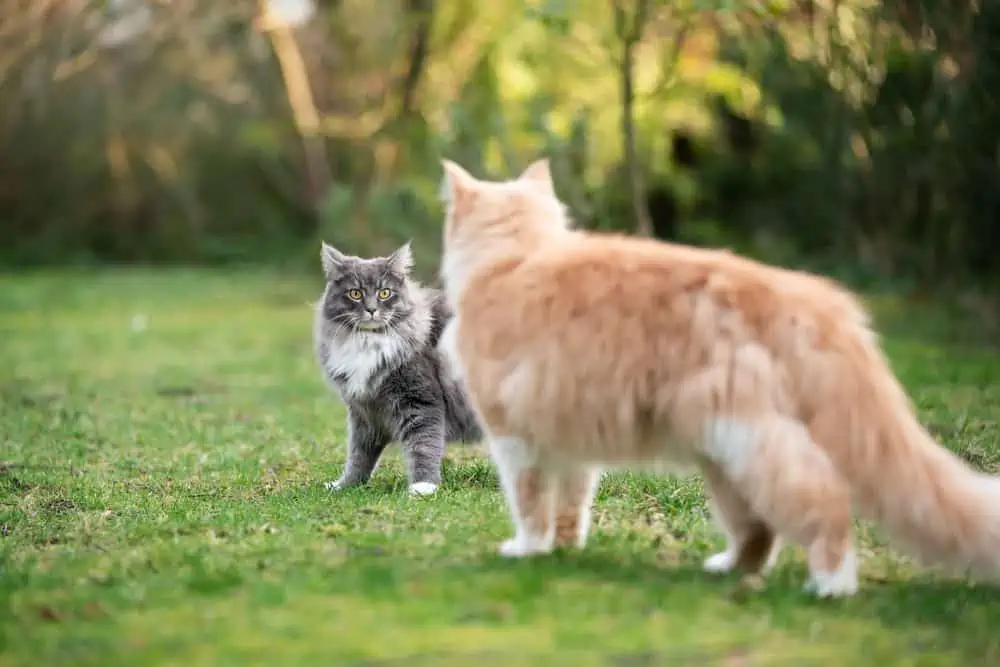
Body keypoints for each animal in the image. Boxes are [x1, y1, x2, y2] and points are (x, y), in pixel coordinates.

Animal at [314, 240, 482, 496]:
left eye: (385, 293)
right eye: (355, 294)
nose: (371, 309)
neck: (368, 343)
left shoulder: (420, 402)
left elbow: (423, 446)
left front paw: (423, 486)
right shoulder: (365, 412)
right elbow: (358, 456)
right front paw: (346, 485)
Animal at [436, 158, 1000, 600]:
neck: (515, 256)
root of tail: (810, 300)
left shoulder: (513, 438)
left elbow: (530, 503)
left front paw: (527, 550)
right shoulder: (568, 438)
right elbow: (570, 504)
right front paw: (564, 550)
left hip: (747, 441)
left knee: (825, 503)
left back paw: (831, 584)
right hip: (722, 458)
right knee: (759, 532)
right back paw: (729, 568)